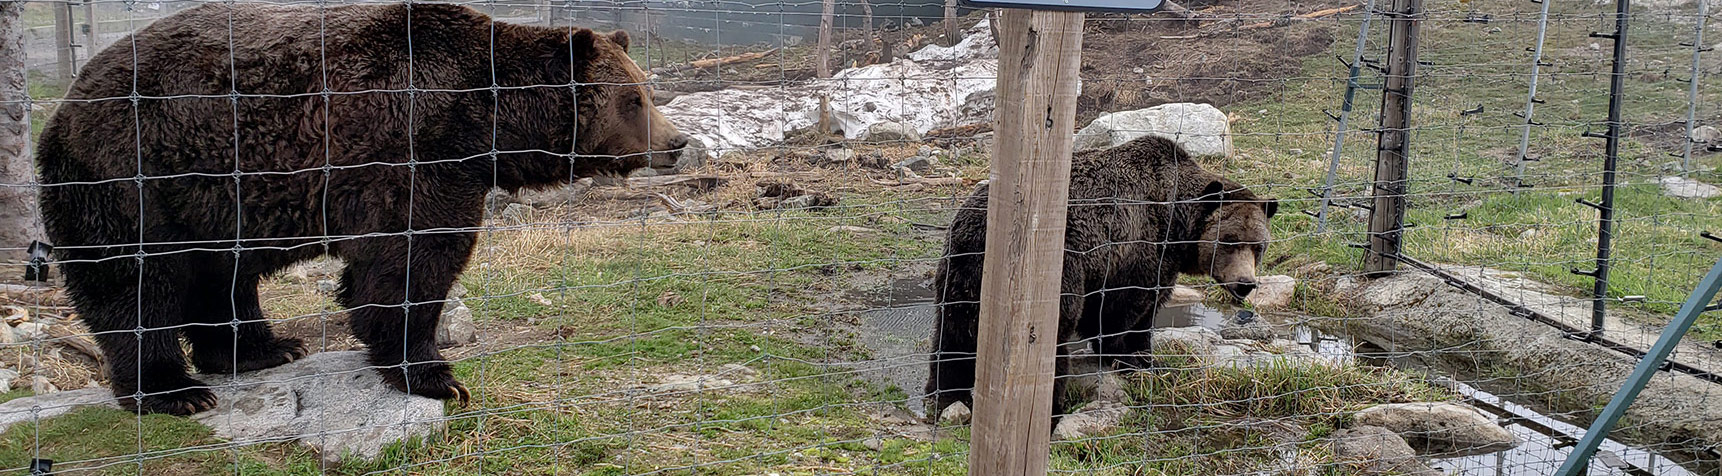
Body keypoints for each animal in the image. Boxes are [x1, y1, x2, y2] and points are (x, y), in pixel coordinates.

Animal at [30, 1, 681, 413]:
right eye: (631, 98)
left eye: (645, 89)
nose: (675, 143)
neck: (482, 120)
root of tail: (66, 102)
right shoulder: (408, 152)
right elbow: (411, 261)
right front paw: (435, 374)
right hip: (136, 173)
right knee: (135, 278)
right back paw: (175, 390)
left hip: (214, 198)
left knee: (220, 274)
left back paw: (264, 348)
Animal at [929, 134, 1281, 420]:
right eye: (1229, 241)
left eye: (1258, 245)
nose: (1245, 283)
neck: (1175, 225)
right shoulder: (1135, 250)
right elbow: (1127, 308)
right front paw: (1127, 355)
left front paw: (1144, 356)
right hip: (1056, 267)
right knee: (1052, 333)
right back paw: (1052, 403)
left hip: (960, 270)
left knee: (953, 333)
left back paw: (946, 395)